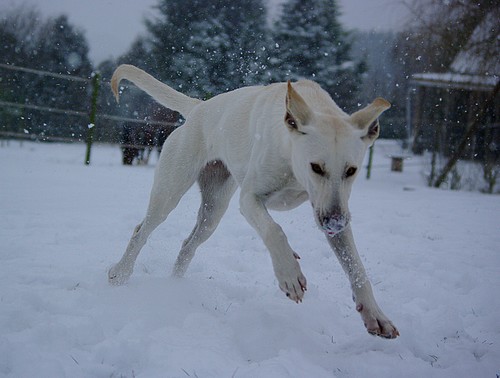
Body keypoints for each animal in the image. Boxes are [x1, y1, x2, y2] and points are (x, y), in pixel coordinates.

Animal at [108, 63, 398, 338]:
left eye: (351, 170)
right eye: (316, 167)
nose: (335, 223)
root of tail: (199, 107)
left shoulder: (331, 208)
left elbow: (356, 267)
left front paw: (375, 315)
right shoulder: (250, 199)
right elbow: (274, 230)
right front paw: (290, 275)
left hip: (213, 210)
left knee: (188, 245)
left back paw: (175, 286)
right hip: (169, 192)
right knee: (141, 231)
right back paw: (120, 273)